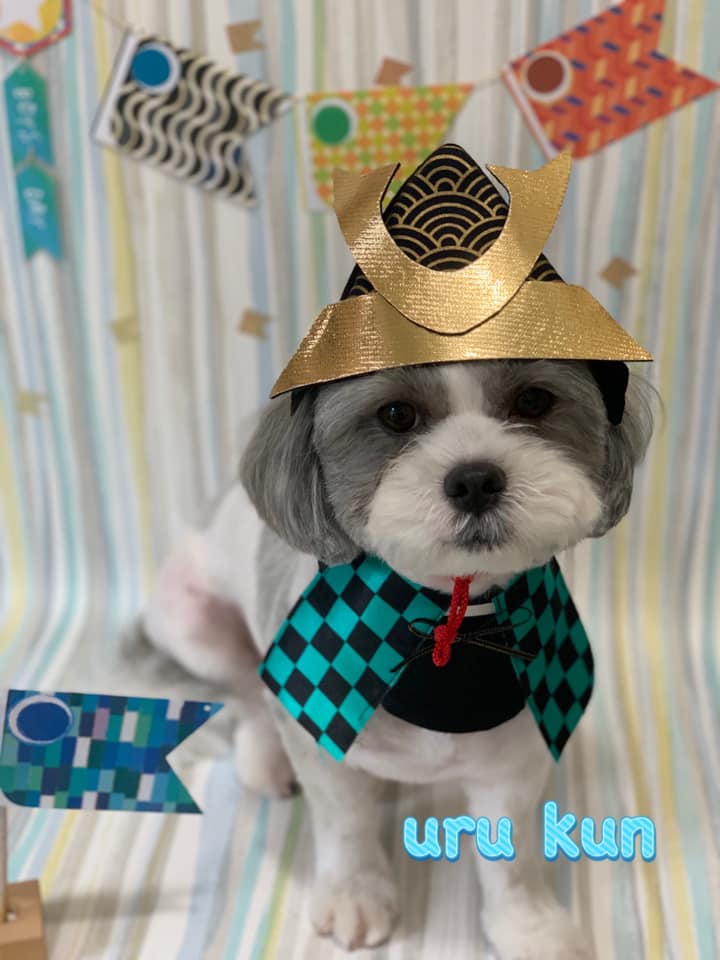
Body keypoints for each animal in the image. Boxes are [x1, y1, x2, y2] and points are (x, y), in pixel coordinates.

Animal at [142, 357, 654, 957]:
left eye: (533, 401)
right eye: (396, 414)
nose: (474, 479)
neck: (450, 627)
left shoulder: (517, 752)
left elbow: (510, 854)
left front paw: (528, 925)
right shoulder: (319, 733)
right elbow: (346, 823)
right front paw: (354, 893)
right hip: (194, 621)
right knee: (248, 693)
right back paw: (265, 759)